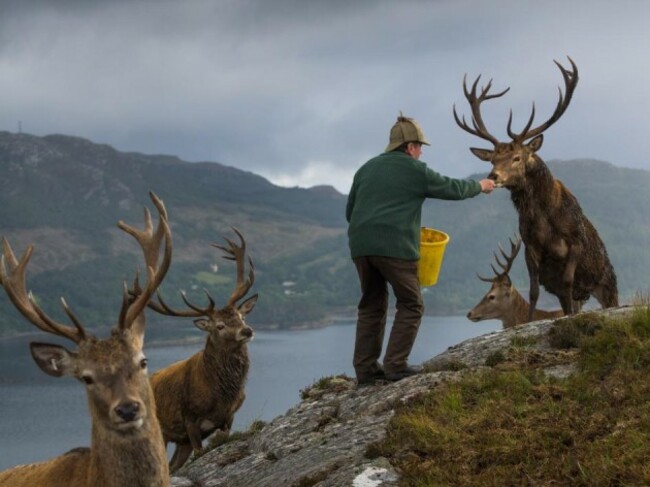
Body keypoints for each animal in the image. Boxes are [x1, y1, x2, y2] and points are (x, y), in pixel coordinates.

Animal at [135, 227, 258, 472]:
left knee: (172, 467)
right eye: (219, 326)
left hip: (179, 442)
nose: (247, 331)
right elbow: (200, 452)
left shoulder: (228, 418)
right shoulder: (189, 419)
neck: (221, 395)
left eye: (241, 316)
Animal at [454, 57, 618, 320]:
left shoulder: (575, 242)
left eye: (517, 157)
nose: (493, 176)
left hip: (608, 283)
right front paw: (529, 321)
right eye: (492, 160)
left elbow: (568, 282)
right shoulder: (530, 247)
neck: (544, 218)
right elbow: (533, 292)